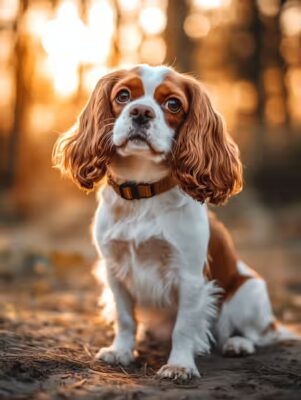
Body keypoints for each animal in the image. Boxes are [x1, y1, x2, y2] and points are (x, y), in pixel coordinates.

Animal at [52, 64, 292, 380]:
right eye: (123, 95)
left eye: (173, 104)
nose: (141, 112)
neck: (143, 192)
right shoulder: (114, 270)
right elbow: (125, 318)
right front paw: (121, 352)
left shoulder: (189, 276)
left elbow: (183, 327)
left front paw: (179, 365)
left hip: (248, 294)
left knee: (258, 334)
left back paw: (238, 344)